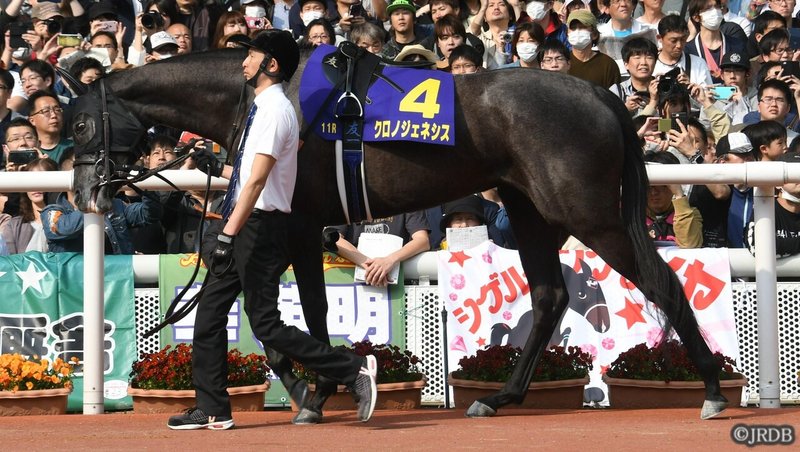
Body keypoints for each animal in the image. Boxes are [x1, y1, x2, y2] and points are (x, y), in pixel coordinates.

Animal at [69, 47, 732, 418]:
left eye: (78, 126)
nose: (82, 195)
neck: (270, 95)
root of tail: (599, 94)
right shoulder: (285, 225)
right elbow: (274, 310)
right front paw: (311, 385)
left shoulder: (299, 221)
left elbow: (308, 310)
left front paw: (321, 389)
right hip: (529, 209)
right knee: (549, 297)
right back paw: (499, 397)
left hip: (585, 212)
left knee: (662, 283)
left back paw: (712, 387)